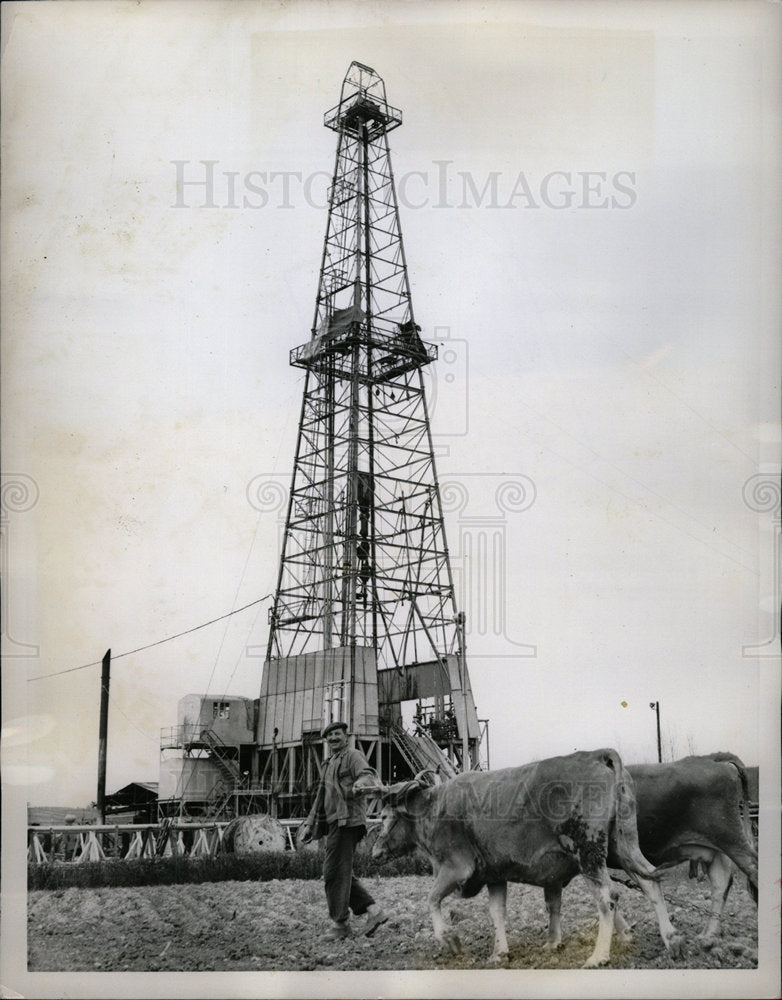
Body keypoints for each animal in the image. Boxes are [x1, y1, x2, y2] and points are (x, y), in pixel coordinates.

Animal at [370, 752, 684, 968]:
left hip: (588, 852)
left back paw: (598, 956)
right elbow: (497, 912)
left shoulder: (456, 868)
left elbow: (432, 899)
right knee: (650, 882)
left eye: (383, 817)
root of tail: (598, 754)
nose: (374, 852)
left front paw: (450, 940)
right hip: (623, 846)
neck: (434, 808)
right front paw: (500, 952)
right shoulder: (494, 875)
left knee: (608, 896)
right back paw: (671, 938)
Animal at [540, 752, 760, 948]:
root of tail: (712, 758)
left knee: (752, 872)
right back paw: (708, 935)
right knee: (721, 884)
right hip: (714, 849)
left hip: (732, 840)